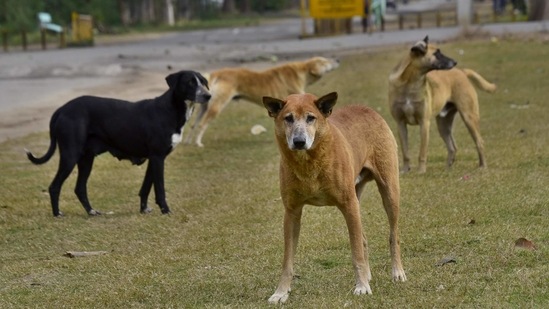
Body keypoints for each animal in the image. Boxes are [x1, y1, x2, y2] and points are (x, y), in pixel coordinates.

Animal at [25, 70, 211, 217]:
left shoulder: (154, 158)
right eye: (190, 82)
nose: (208, 95)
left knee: (80, 188)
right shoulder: (158, 157)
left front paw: (144, 209)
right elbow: (160, 189)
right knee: (54, 186)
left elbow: (145, 187)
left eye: (203, 81)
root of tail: (62, 109)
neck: (170, 110)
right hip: (70, 156)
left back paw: (91, 211)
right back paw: (57, 213)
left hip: (86, 159)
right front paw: (166, 210)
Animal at [185, 56, 338, 147]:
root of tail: (215, 74)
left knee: (193, 124)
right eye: (325, 61)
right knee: (202, 125)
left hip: (204, 107)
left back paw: (188, 142)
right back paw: (198, 143)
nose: (337, 60)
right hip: (216, 106)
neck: (301, 71)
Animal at [264, 92, 404, 304]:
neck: (309, 163)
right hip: (357, 199)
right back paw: (369, 275)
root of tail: (366, 108)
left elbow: (356, 253)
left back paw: (397, 272)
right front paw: (281, 292)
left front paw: (362, 287)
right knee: (363, 238)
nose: (299, 141)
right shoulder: (291, 213)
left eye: (311, 118)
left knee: (393, 235)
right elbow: (287, 261)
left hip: (389, 192)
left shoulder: (348, 205)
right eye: (288, 118)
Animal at [386, 36, 496, 172]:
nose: (455, 62)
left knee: (479, 142)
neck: (410, 83)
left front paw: (421, 170)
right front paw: (406, 170)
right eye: (437, 54)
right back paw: (447, 168)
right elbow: (405, 151)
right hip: (443, 125)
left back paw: (483, 166)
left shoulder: (424, 123)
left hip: (469, 117)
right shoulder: (400, 124)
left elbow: (422, 152)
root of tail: (462, 72)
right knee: (452, 147)